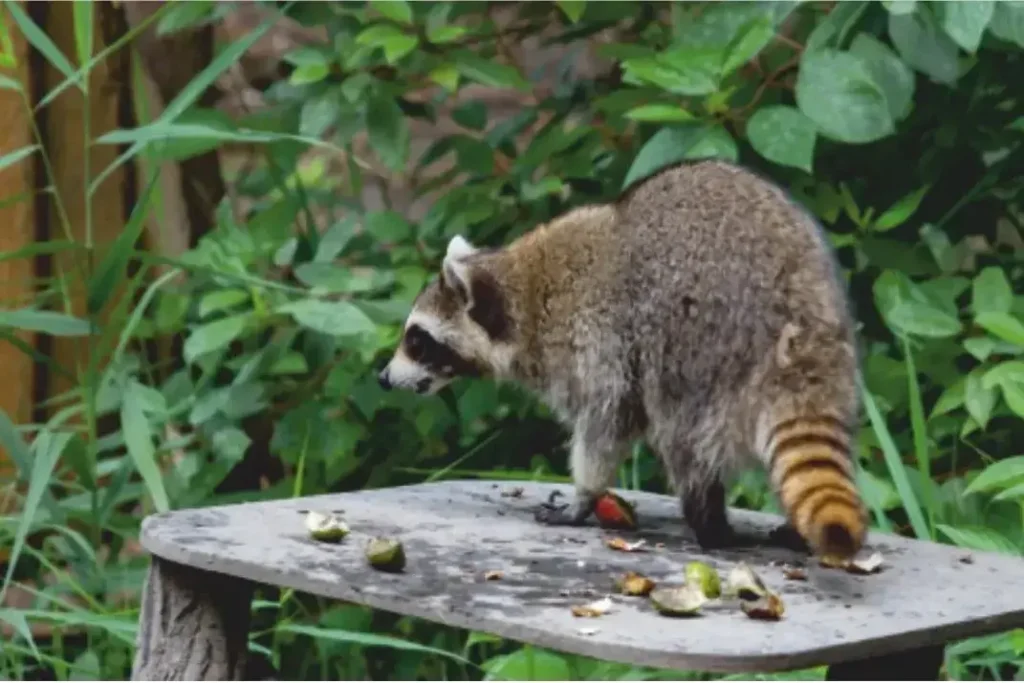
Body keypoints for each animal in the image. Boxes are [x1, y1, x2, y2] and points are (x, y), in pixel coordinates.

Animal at [380, 160, 868, 561]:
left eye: (418, 341)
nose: (383, 378)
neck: (524, 296)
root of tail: (798, 326)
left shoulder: (598, 336)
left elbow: (607, 419)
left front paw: (584, 496)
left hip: (700, 349)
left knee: (685, 439)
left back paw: (709, 524)